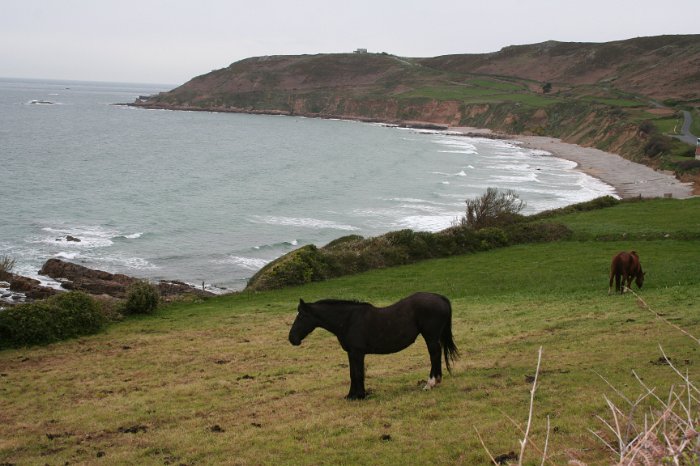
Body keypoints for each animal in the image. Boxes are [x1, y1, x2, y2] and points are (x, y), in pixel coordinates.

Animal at [288, 294, 460, 398]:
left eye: (301, 316)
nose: (292, 338)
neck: (348, 320)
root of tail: (441, 298)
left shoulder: (357, 352)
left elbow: (357, 373)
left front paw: (359, 396)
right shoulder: (352, 353)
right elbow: (353, 373)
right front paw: (351, 395)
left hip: (430, 337)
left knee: (434, 355)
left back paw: (430, 383)